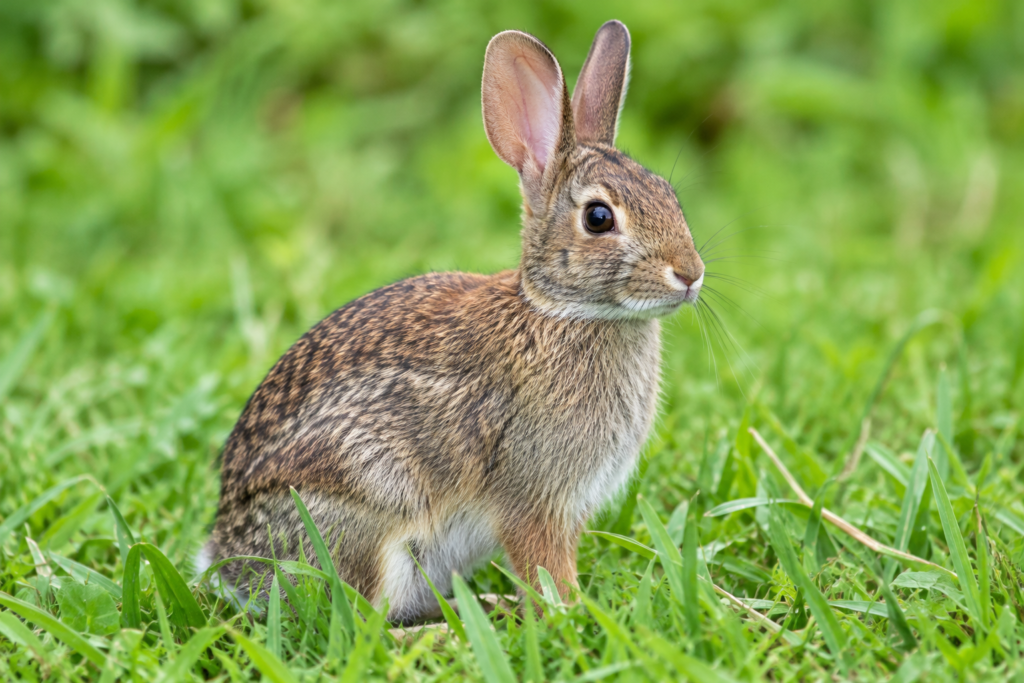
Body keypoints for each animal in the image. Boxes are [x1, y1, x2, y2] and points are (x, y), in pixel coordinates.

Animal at [198, 19, 704, 624]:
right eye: (599, 218)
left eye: (670, 195)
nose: (690, 274)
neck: (561, 310)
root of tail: (231, 561)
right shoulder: (532, 498)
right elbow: (545, 568)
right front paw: (569, 617)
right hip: (366, 510)